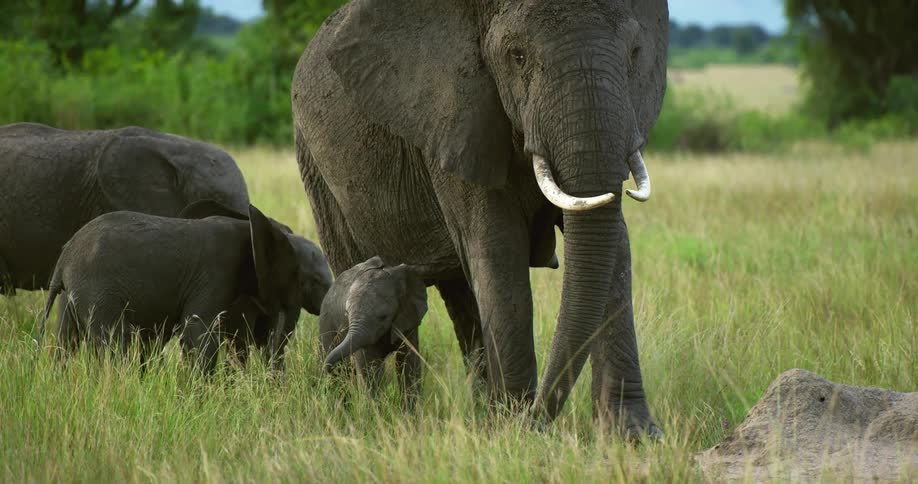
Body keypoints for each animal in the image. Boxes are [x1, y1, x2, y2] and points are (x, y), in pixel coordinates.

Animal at [40, 203, 333, 373]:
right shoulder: (215, 272)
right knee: (115, 342)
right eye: (315, 280)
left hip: (74, 293)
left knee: (67, 339)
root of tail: (63, 259)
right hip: (98, 289)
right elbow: (198, 333)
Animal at [320, 256, 428, 401]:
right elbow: (368, 368)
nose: (327, 368)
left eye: (383, 317)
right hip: (326, 324)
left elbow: (409, 362)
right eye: (346, 314)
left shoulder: (408, 318)